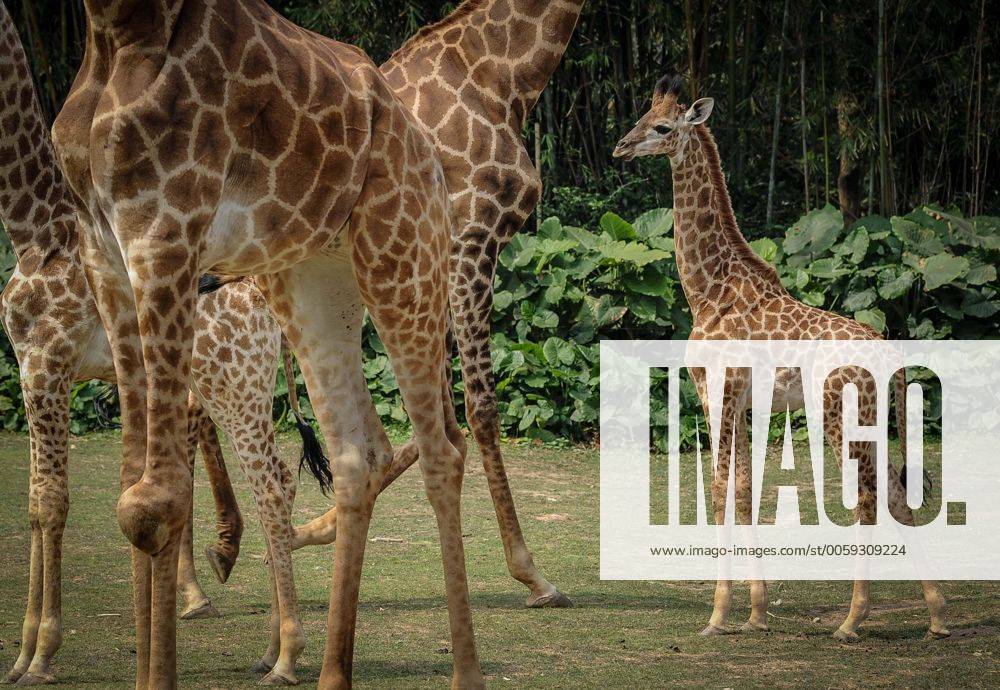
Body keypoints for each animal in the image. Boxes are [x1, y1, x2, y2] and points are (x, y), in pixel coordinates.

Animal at [0, 5, 334, 683]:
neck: (31, 233)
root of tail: (265, 302)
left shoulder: (48, 366)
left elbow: (50, 502)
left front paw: (38, 655)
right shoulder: (29, 367)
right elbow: (38, 503)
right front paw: (23, 654)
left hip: (236, 385)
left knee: (272, 481)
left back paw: (286, 651)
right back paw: (263, 641)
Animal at [52, 1, 482, 688]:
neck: (118, 30)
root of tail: (429, 152)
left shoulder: (165, 232)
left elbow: (155, 500)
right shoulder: (105, 250)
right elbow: (129, 491)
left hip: (404, 254)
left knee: (442, 448)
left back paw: (463, 672)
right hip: (311, 278)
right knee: (358, 453)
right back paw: (331, 673)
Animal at [291, 0, 584, 609]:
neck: (504, 74)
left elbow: (440, 422)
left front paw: (316, 528)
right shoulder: (473, 236)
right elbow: (480, 408)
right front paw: (532, 574)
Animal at [612, 75, 949, 642]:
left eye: (660, 127)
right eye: (640, 115)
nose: (620, 147)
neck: (705, 289)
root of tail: (891, 355)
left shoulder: (718, 389)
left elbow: (720, 488)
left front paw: (717, 616)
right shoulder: (747, 401)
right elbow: (747, 490)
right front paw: (755, 611)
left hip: (838, 413)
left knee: (865, 499)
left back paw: (851, 621)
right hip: (874, 416)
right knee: (895, 496)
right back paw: (937, 618)